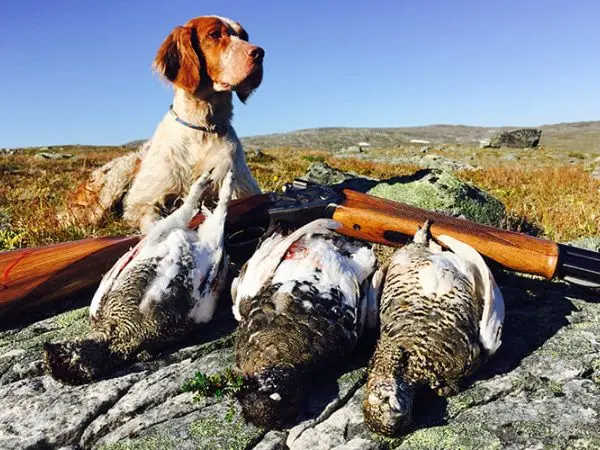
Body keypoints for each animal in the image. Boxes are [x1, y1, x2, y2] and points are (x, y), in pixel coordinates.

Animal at [62, 14, 264, 232]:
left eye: (244, 36)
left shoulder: (241, 190)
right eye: (214, 34)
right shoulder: (142, 201)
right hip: (114, 182)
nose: (259, 53)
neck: (202, 129)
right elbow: (154, 222)